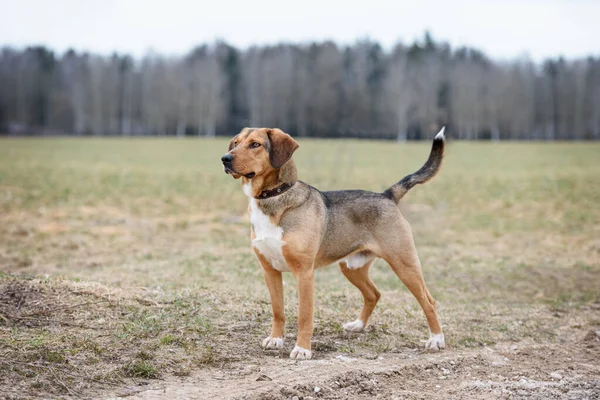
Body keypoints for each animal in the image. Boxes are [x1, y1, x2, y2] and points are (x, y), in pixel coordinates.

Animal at [220, 127, 446, 360]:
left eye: (255, 144)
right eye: (236, 142)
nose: (225, 159)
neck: (273, 198)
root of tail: (387, 195)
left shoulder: (304, 273)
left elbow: (304, 316)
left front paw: (302, 349)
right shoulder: (270, 271)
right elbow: (278, 311)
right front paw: (276, 339)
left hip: (404, 265)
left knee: (428, 301)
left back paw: (436, 340)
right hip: (351, 267)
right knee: (373, 294)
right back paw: (358, 325)